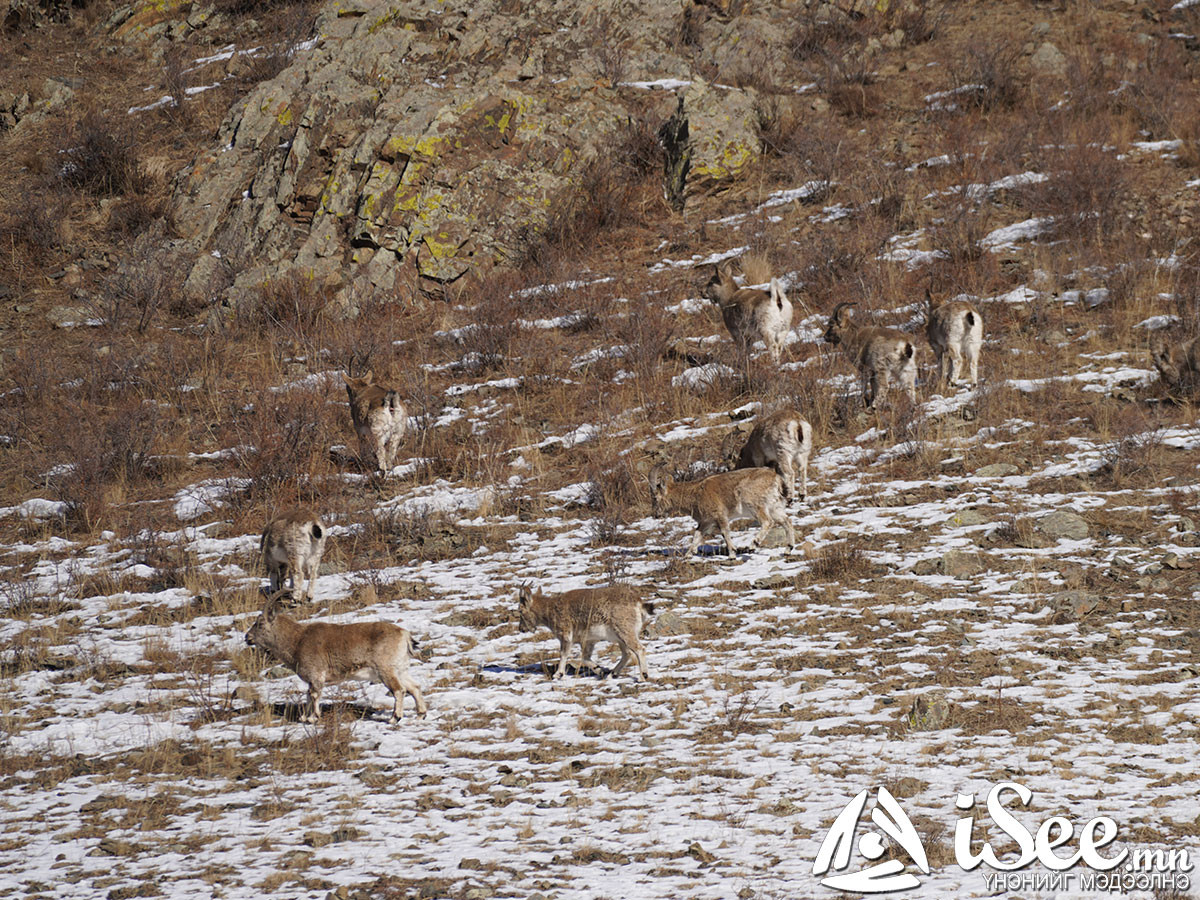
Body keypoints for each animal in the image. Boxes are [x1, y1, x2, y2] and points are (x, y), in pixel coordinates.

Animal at [513, 585, 652, 681]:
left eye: (520, 610)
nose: (521, 629)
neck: (550, 609)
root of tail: (638, 602)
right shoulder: (587, 641)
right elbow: (585, 658)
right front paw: (600, 670)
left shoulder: (566, 635)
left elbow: (564, 654)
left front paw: (558, 674)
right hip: (620, 639)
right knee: (627, 654)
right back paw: (612, 674)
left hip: (624, 632)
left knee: (639, 649)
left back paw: (642, 676)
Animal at [648, 465, 796, 556]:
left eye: (655, 497)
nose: (656, 514)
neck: (696, 495)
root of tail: (775, 477)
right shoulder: (706, 521)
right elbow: (697, 535)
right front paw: (689, 554)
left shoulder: (720, 515)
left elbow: (724, 532)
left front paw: (732, 554)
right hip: (774, 507)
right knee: (787, 521)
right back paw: (788, 549)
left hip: (755, 504)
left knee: (767, 522)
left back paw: (753, 545)